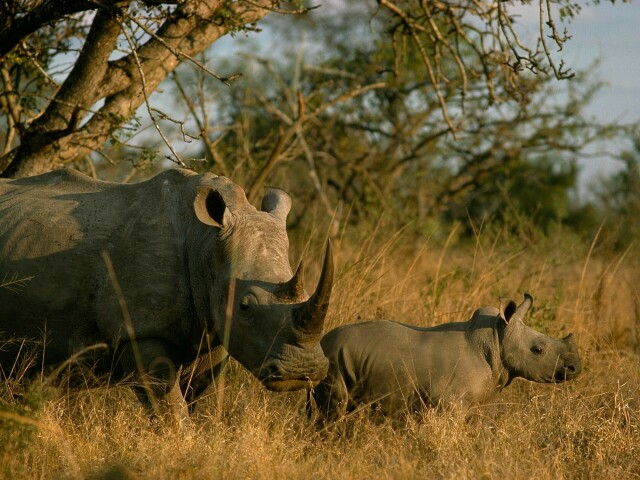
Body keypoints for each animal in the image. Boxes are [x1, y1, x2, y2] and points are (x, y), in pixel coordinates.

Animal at [0, 168, 333, 419]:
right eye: (245, 306)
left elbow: (199, 401)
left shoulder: (211, 330)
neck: (205, 243)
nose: (304, 371)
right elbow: (170, 411)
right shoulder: (139, 329)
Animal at [309, 294, 581, 422]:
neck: (496, 339)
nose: (576, 367)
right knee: (333, 409)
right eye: (538, 350)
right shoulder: (450, 404)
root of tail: (321, 342)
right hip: (333, 360)